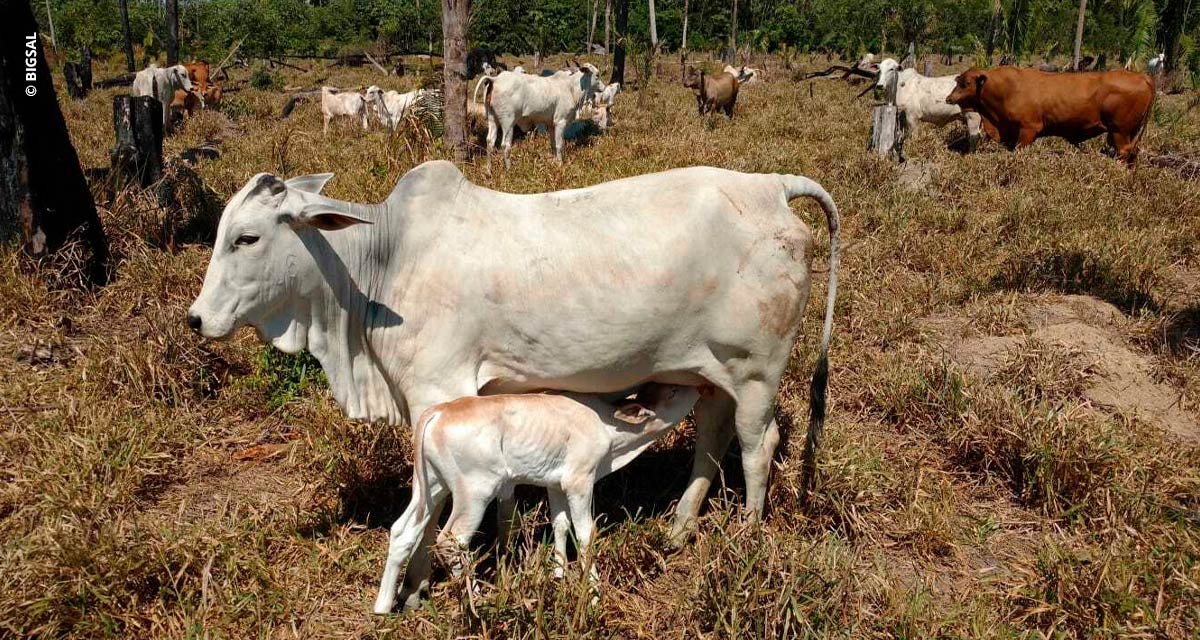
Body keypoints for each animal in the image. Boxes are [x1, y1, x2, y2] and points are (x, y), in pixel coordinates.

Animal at [369, 381, 700, 612]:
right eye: (673, 390)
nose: (699, 386)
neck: (608, 428)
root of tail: (438, 412)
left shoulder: (556, 483)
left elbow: (560, 524)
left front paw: (558, 575)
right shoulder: (580, 480)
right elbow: (586, 533)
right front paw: (594, 594)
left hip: (431, 486)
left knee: (403, 530)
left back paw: (383, 607)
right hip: (474, 491)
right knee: (451, 539)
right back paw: (476, 599)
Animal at [945, 66, 1152, 165]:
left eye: (967, 83)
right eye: (958, 80)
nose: (949, 98)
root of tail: (1142, 76)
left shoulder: (1028, 130)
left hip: (1120, 132)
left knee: (1123, 154)